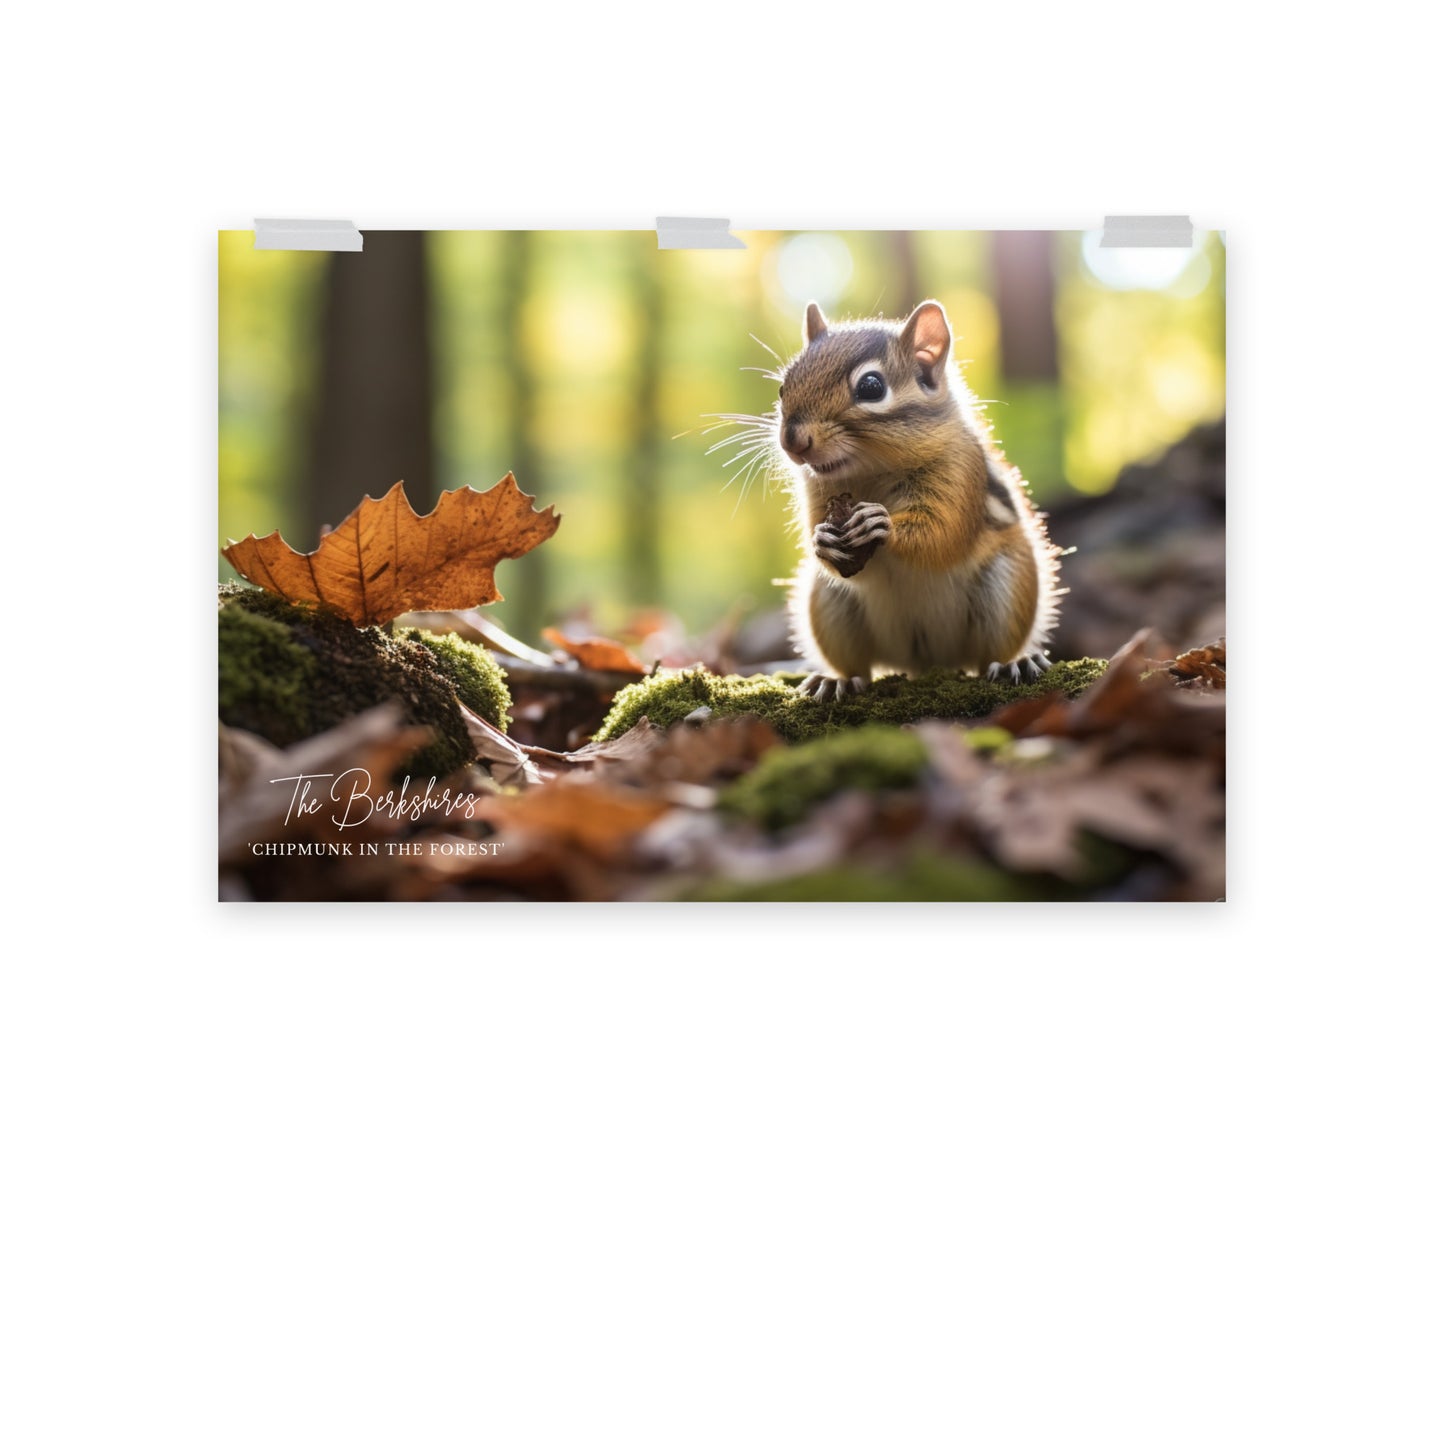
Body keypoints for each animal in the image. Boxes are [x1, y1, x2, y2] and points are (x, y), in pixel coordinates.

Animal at [771, 299, 1063, 700]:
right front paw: (822, 540)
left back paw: (1012, 663)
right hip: (830, 603)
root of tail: (926, 663)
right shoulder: (818, 493)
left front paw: (880, 524)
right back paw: (837, 680)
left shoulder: (958, 472)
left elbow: (941, 535)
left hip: (1006, 587)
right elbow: (824, 540)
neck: (872, 473)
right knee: (858, 668)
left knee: (989, 655)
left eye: (871, 386)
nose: (793, 441)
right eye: (783, 387)